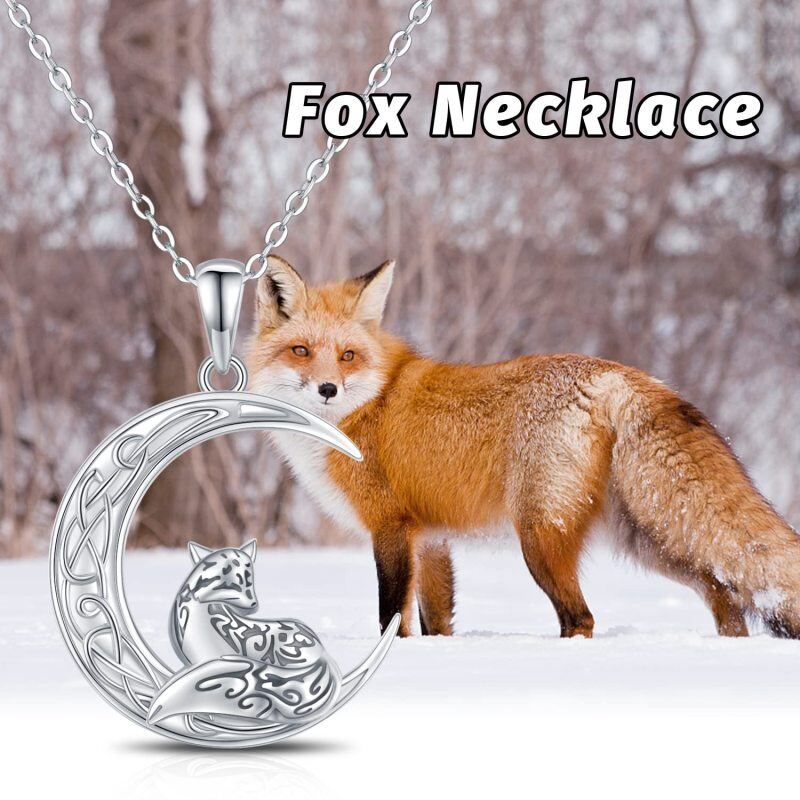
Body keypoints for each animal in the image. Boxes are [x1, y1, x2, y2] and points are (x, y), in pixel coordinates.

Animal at [246, 255, 800, 640]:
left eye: (347, 356)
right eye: (300, 351)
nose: (328, 390)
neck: (365, 408)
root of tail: (613, 373)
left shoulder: (390, 526)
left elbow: (391, 619)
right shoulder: (430, 539)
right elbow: (435, 622)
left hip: (540, 533)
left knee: (581, 617)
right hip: (647, 538)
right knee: (724, 593)